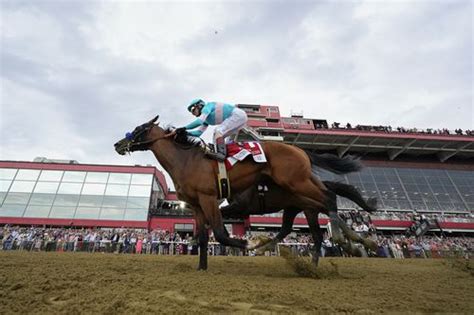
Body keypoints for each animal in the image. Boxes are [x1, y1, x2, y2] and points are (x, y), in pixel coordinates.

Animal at [115, 117, 362, 270]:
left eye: (137, 129)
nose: (118, 143)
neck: (186, 160)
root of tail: (300, 150)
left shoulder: (209, 198)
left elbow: (220, 233)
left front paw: (251, 245)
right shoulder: (196, 205)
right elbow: (202, 236)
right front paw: (201, 267)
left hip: (297, 183)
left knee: (329, 198)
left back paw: (342, 236)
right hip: (298, 194)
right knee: (315, 215)